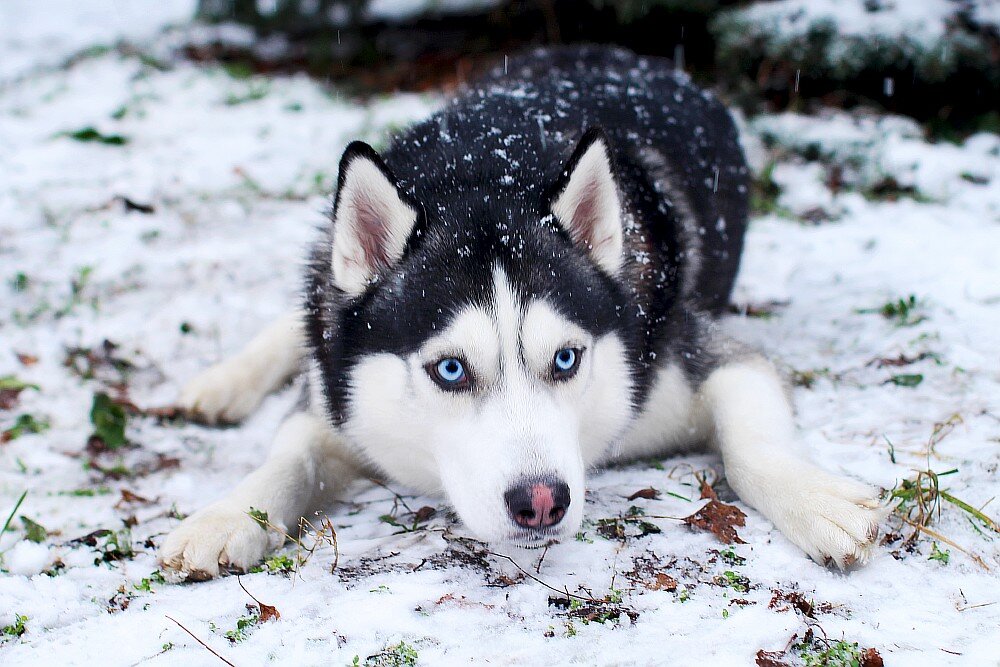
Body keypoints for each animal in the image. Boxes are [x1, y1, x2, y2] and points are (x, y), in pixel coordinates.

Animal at [162, 45, 884, 580]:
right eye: (451, 370)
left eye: (566, 358)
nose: (541, 502)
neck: (487, 172)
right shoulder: (336, 402)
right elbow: (291, 454)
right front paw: (226, 514)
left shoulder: (697, 361)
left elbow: (751, 438)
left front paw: (816, 498)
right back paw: (221, 382)